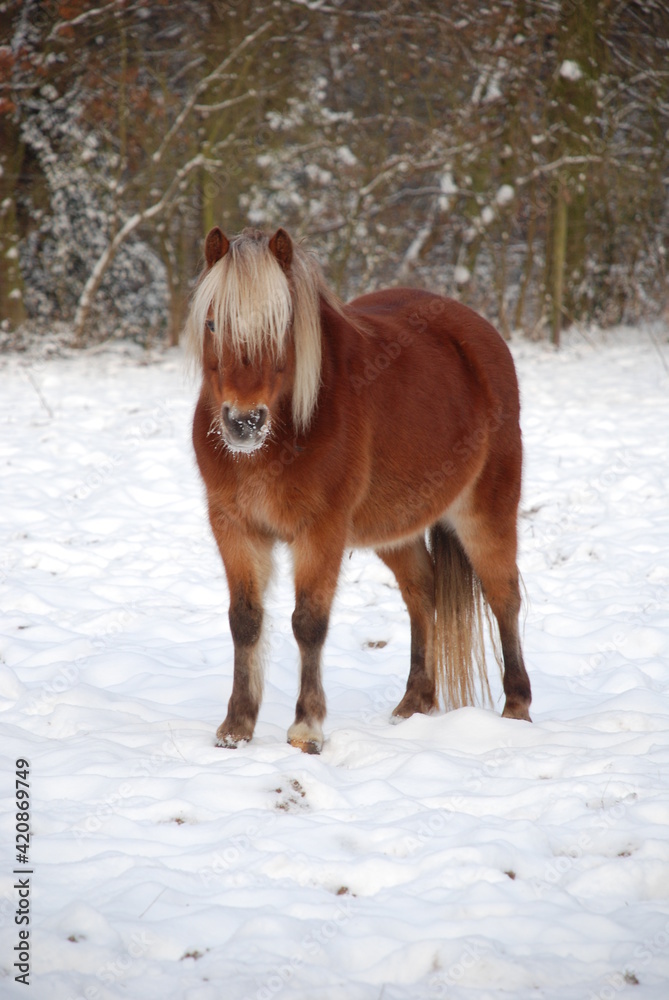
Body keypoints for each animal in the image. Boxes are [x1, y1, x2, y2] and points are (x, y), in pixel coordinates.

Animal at [188, 227, 532, 752]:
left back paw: (516, 708)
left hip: (485, 512)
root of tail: (480, 334)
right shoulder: (235, 528)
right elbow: (244, 620)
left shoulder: (321, 531)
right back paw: (415, 702)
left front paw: (306, 727)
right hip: (397, 528)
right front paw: (236, 726)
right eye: (211, 324)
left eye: (282, 327)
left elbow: (308, 622)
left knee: (503, 596)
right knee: (422, 592)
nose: (243, 422)